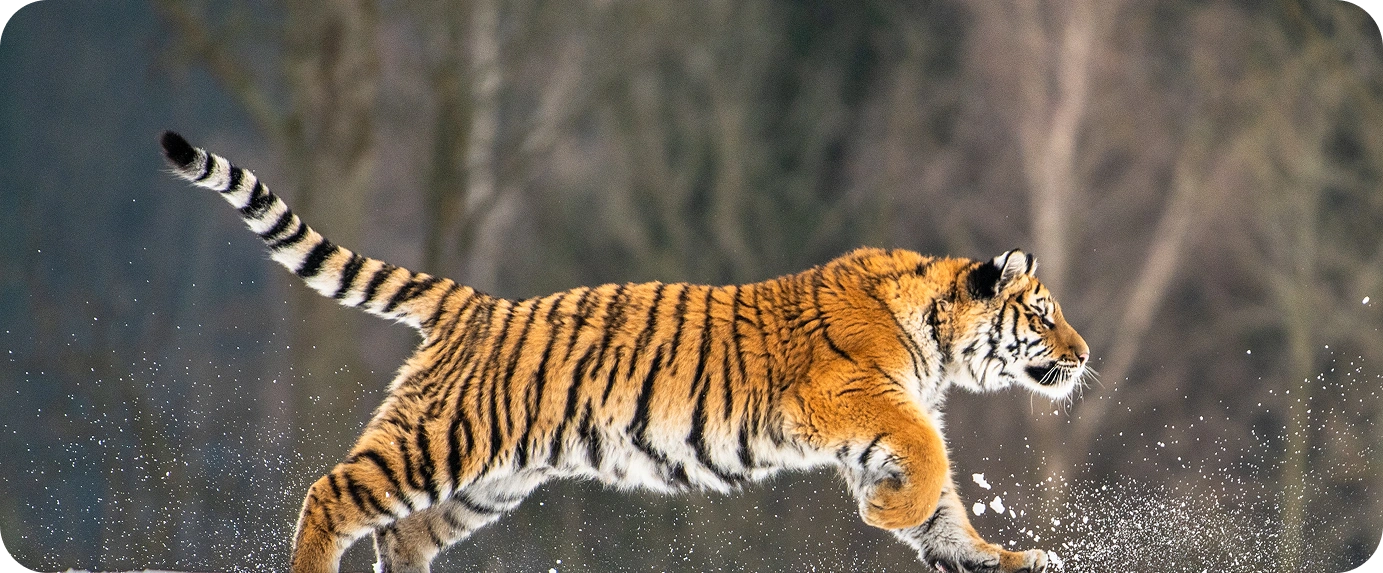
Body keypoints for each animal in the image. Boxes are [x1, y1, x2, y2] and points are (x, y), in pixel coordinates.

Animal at [159, 131, 1089, 573]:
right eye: (1043, 315)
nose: (1084, 354)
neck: (935, 335)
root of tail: (472, 302)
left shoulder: (878, 427)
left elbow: (947, 515)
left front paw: (1014, 558)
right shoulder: (849, 402)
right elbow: (932, 462)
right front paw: (889, 514)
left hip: (492, 477)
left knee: (405, 535)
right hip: (437, 440)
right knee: (332, 494)